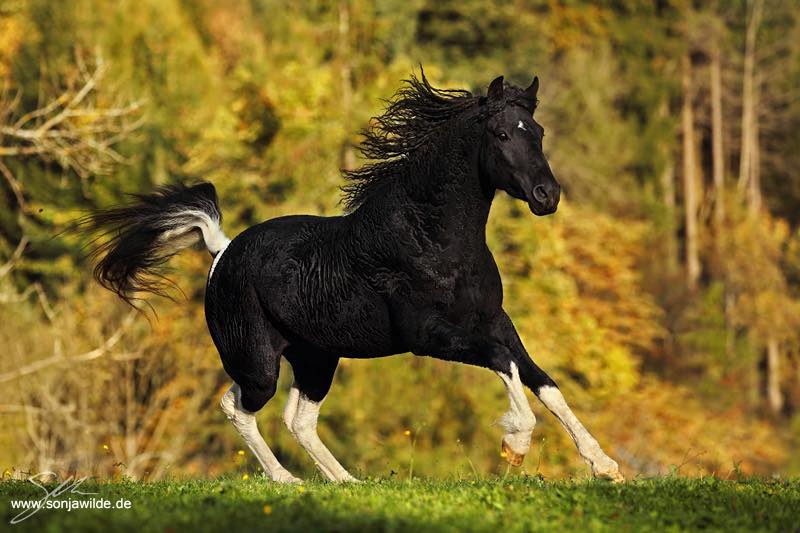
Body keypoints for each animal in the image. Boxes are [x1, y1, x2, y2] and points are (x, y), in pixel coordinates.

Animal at [87, 70, 624, 482]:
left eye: (538, 131)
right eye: (502, 135)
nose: (547, 196)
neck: (433, 239)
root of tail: (223, 249)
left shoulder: (494, 322)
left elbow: (542, 380)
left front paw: (605, 465)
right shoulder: (429, 335)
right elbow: (503, 363)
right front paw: (515, 445)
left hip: (316, 357)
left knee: (298, 420)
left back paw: (346, 482)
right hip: (258, 361)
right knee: (237, 406)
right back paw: (287, 481)